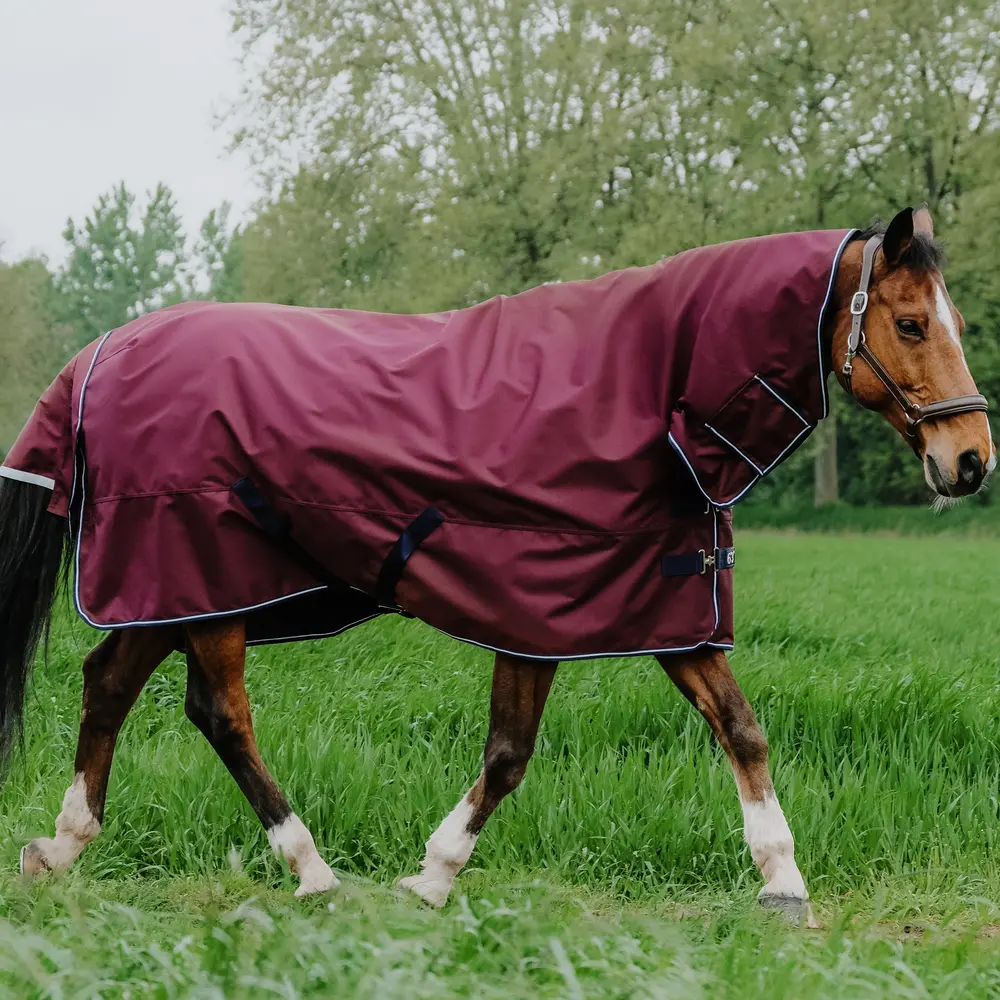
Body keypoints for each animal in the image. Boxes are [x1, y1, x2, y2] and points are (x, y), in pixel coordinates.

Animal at [0, 206, 991, 926]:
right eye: (911, 323)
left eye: (950, 320)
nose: (972, 459)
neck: (645, 389)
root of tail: (103, 351)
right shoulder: (541, 608)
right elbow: (511, 755)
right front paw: (432, 879)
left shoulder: (664, 603)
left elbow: (741, 730)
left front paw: (782, 883)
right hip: (208, 582)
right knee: (220, 715)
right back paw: (312, 870)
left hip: (171, 591)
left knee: (108, 680)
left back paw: (61, 845)